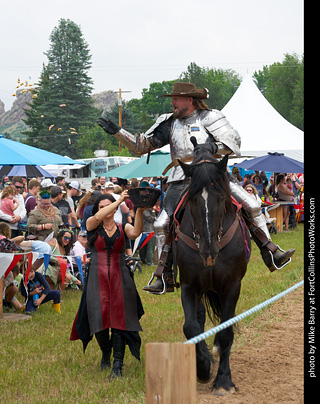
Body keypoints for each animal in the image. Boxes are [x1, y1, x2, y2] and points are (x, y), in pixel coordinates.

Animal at [172, 138, 252, 394]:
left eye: (220, 197)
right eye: (193, 199)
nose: (209, 250)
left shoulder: (232, 286)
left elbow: (226, 331)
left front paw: (223, 380)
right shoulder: (189, 286)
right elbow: (191, 327)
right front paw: (203, 368)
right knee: (199, 319)